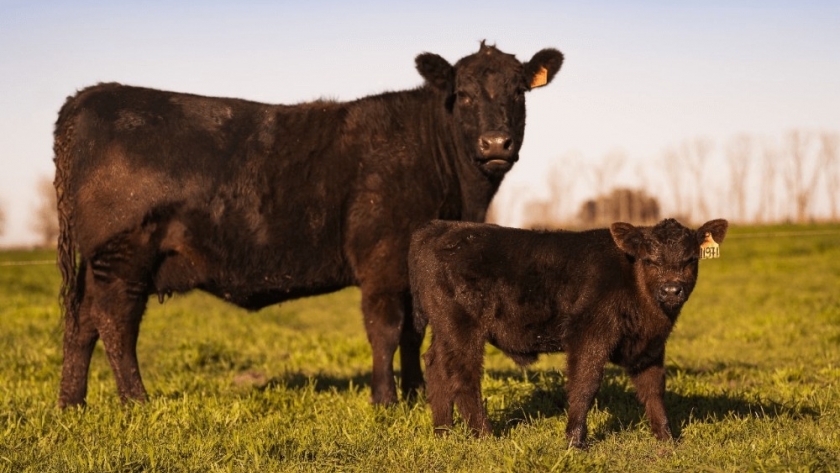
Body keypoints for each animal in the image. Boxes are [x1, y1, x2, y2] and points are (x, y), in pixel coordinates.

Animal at [52, 42, 564, 408]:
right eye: (465, 95)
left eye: (519, 92)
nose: (495, 143)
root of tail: (90, 95)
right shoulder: (381, 261)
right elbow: (385, 328)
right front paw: (386, 401)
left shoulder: (411, 268)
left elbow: (414, 332)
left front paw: (417, 394)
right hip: (123, 253)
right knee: (114, 322)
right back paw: (136, 401)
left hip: (101, 262)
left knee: (81, 322)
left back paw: (72, 404)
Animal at [410, 218, 724, 446]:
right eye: (649, 260)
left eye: (691, 259)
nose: (672, 290)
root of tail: (441, 227)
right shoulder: (589, 335)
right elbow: (585, 384)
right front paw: (574, 441)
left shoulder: (650, 346)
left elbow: (654, 388)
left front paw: (667, 438)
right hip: (462, 326)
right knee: (463, 374)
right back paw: (485, 435)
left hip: (444, 328)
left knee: (436, 365)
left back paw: (443, 432)